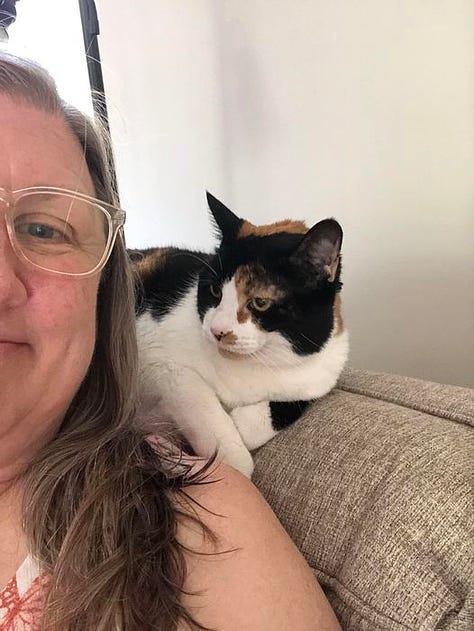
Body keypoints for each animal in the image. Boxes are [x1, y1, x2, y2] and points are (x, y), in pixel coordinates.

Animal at [132, 195, 348, 476]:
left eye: (260, 302)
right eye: (214, 291)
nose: (217, 331)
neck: (252, 363)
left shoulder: (320, 376)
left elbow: (294, 404)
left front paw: (242, 423)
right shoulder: (166, 366)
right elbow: (233, 452)